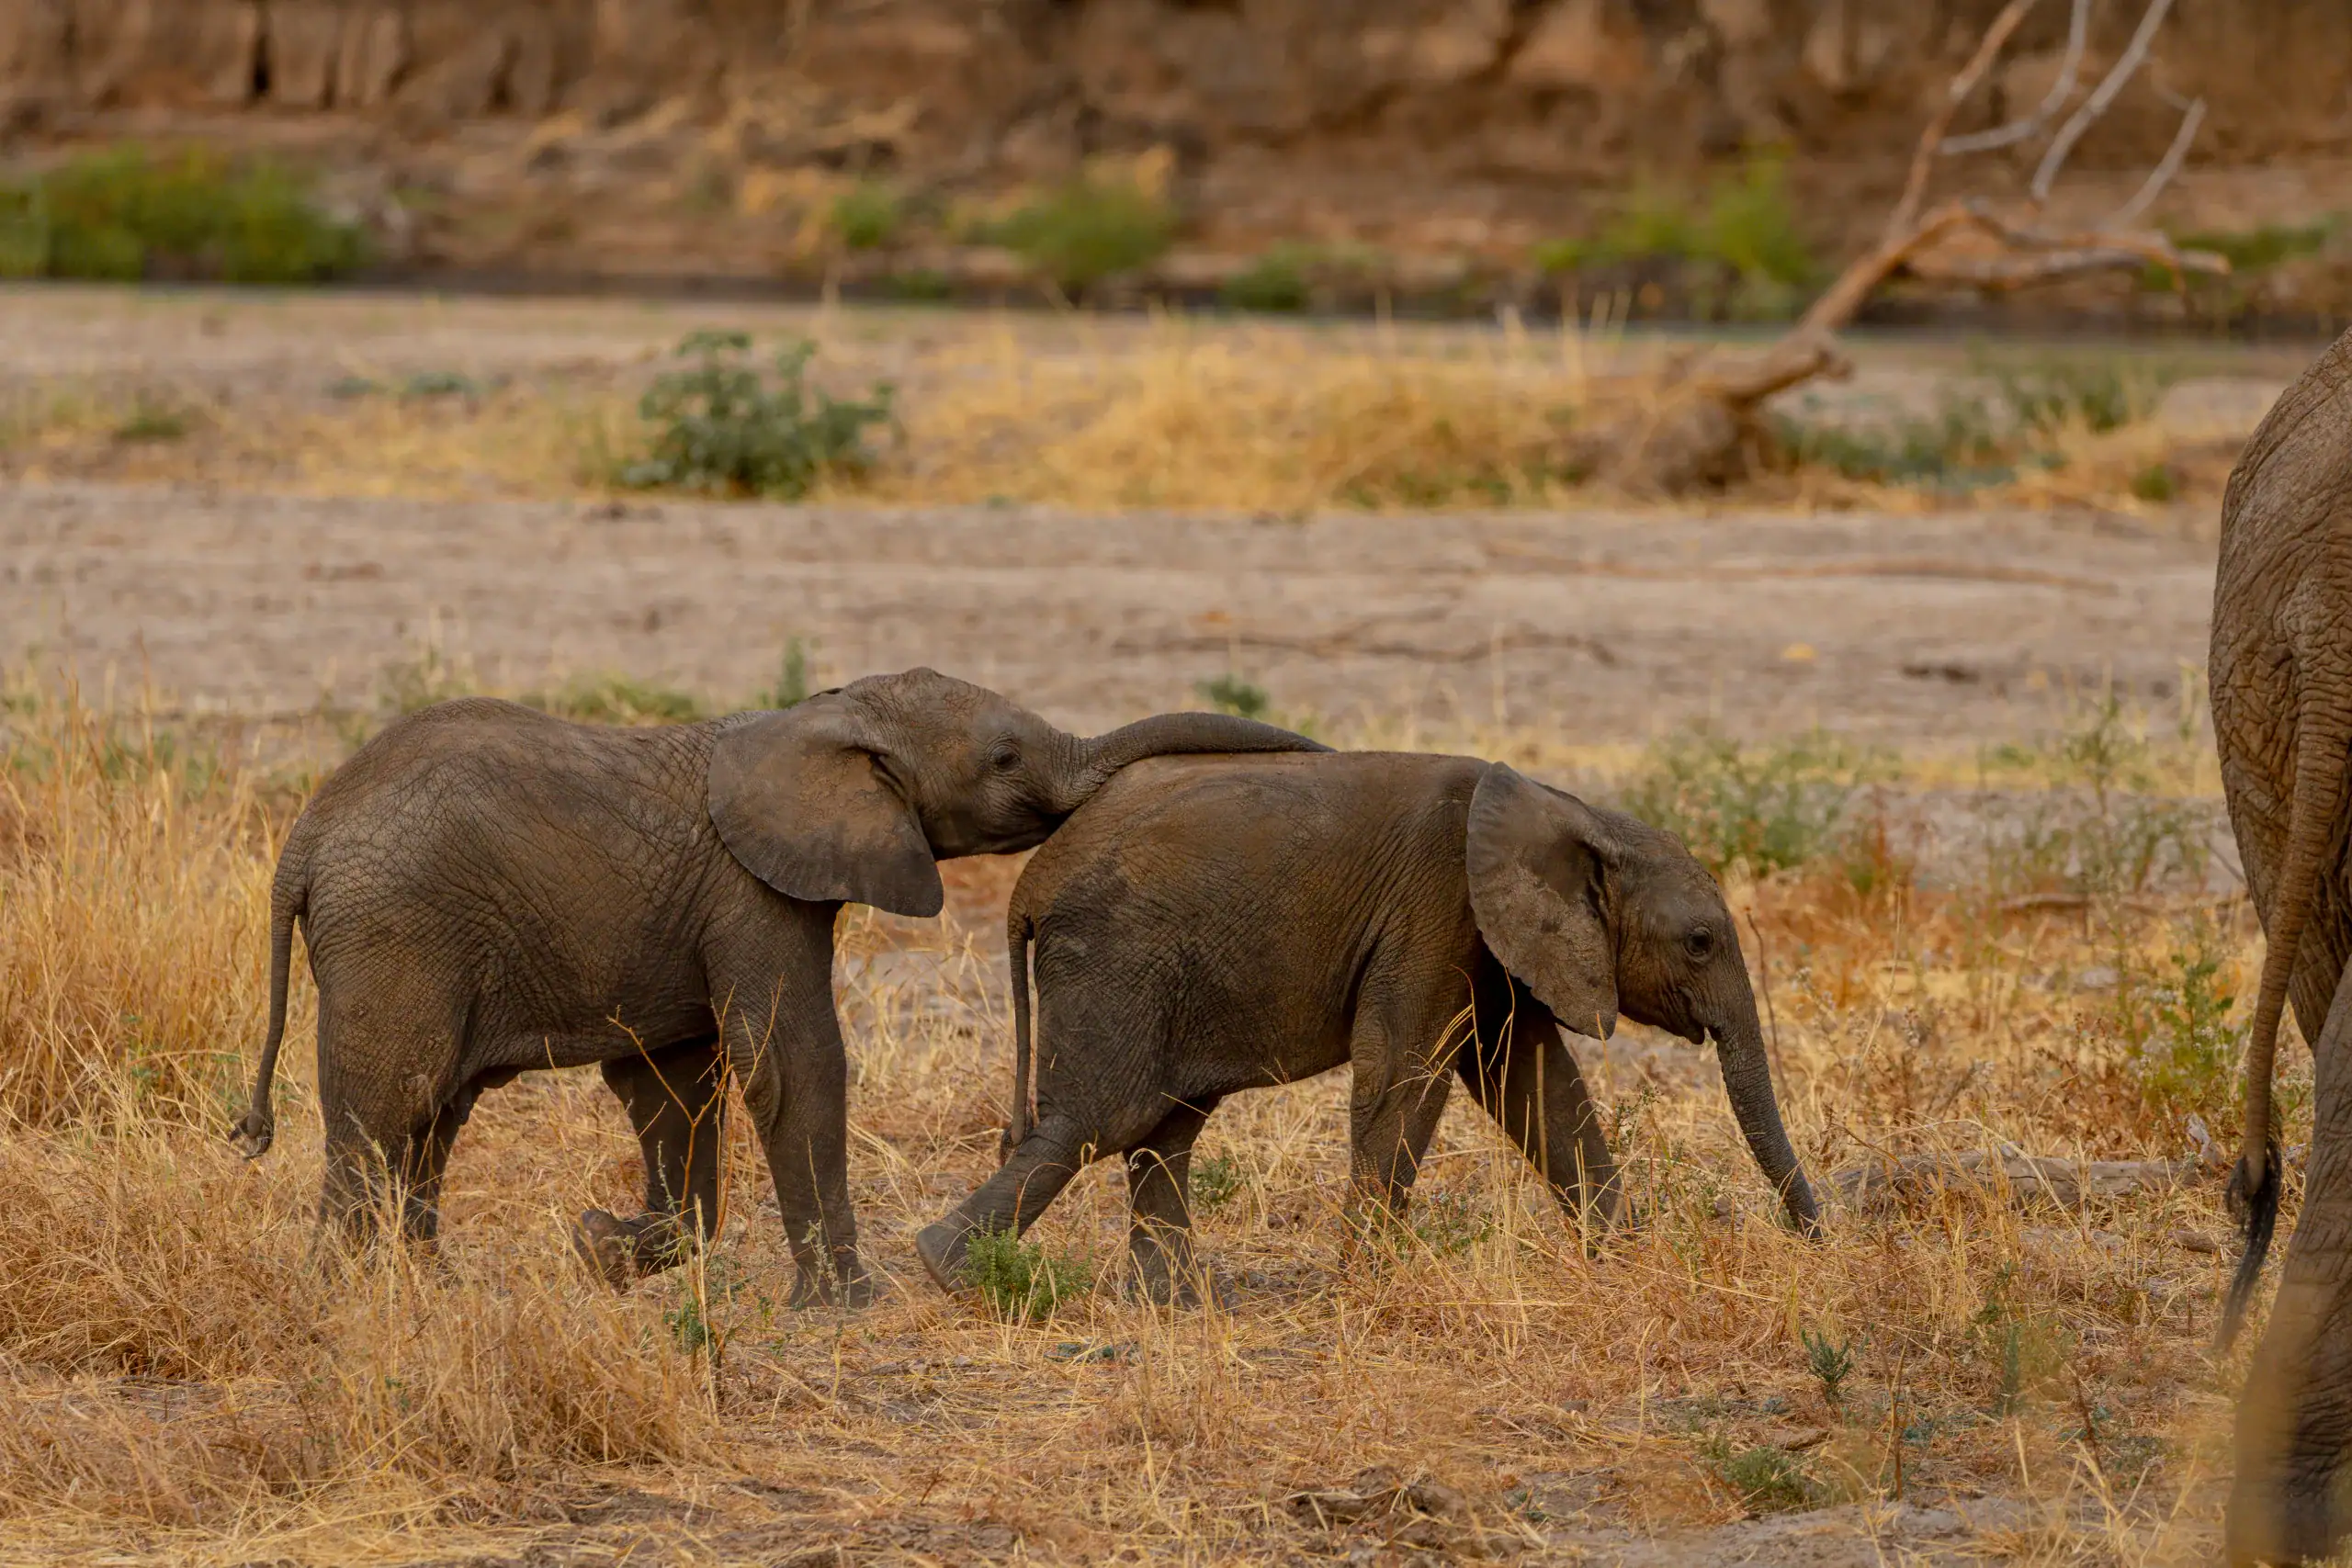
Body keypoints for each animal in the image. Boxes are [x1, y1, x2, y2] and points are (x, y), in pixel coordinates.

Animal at [233, 668, 1325, 1307]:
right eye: (1005, 757)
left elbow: (674, 1083)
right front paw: (845, 1303)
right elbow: (790, 1061)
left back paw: (432, 1284)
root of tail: (304, 843)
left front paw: (607, 1246)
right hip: (395, 930)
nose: (1315, 756)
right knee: (391, 1101)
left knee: (435, 1115)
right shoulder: (752, 889)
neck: (827, 716)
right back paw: (349, 1297)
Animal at [913, 751, 1822, 1305]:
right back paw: (948, 1271)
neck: (1564, 810)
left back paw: (1175, 1302)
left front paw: (1623, 1260)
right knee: (1095, 1123)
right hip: (1117, 962)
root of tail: (1028, 886)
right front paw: (1368, 1283)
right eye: (1699, 942)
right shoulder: (1436, 908)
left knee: (1163, 1130)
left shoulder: (1494, 937)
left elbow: (1531, 1082)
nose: (1817, 1240)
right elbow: (1405, 1071)